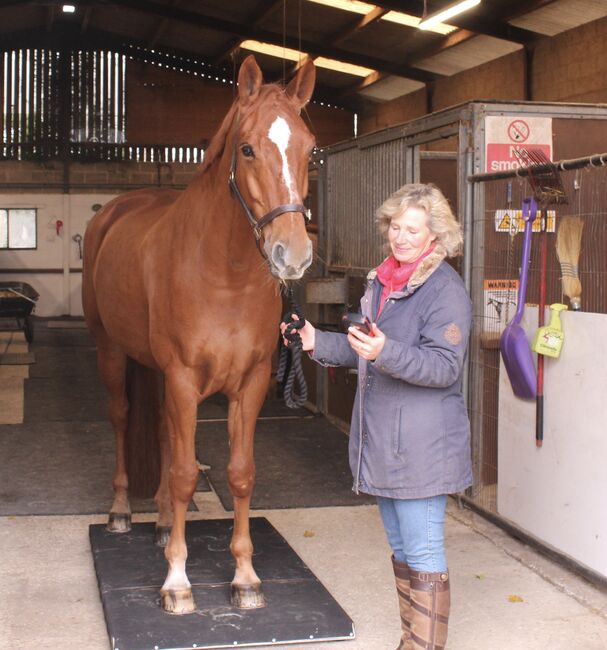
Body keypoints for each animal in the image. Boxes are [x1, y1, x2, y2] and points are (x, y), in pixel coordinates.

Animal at [82, 57, 316, 612]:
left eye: (310, 148)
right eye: (247, 148)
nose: (292, 255)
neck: (223, 275)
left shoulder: (250, 383)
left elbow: (239, 473)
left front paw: (246, 577)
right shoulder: (185, 379)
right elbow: (188, 475)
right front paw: (177, 582)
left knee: (165, 437)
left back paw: (165, 522)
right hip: (111, 351)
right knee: (123, 419)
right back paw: (122, 511)